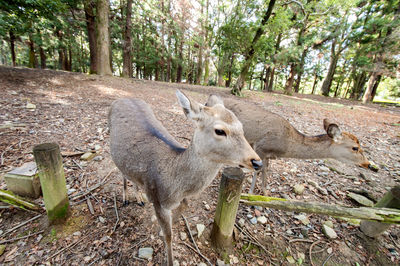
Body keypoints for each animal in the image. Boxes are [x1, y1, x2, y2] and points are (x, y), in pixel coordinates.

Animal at [108, 90, 262, 264]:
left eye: (242, 128)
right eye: (219, 131)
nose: (257, 162)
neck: (175, 186)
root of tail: (121, 99)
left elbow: (184, 206)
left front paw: (162, 229)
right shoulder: (157, 199)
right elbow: (169, 236)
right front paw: (169, 260)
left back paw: (139, 197)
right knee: (121, 171)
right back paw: (125, 198)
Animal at [206, 94, 372, 194]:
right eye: (355, 148)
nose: (367, 163)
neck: (286, 146)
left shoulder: (267, 154)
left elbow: (266, 170)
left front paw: (265, 192)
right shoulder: (261, 147)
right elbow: (259, 170)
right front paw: (251, 193)